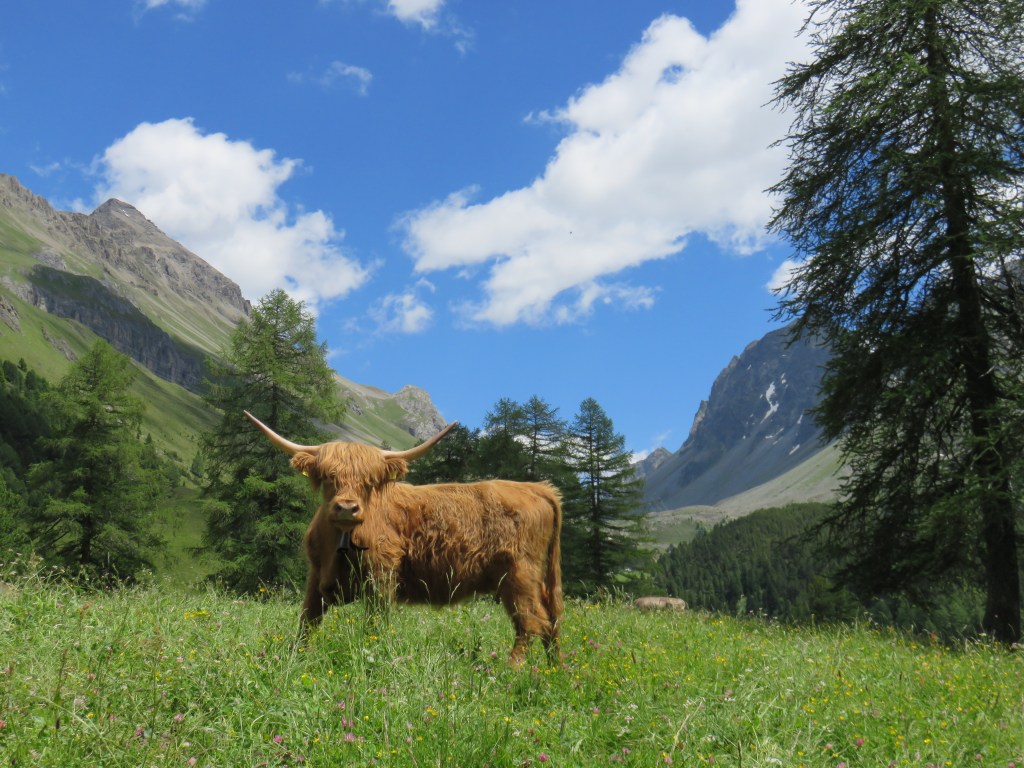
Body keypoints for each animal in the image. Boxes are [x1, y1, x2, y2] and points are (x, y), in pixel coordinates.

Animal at [244, 411, 564, 665]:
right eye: (328, 477)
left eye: (369, 482)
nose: (347, 507)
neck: (340, 543)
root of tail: (536, 488)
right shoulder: (316, 575)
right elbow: (307, 621)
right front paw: (295, 658)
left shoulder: (382, 575)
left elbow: (374, 624)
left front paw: (371, 656)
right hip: (536, 579)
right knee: (551, 619)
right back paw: (553, 669)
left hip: (519, 575)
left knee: (531, 621)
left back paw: (512, 669)